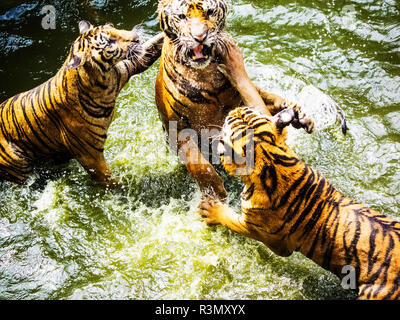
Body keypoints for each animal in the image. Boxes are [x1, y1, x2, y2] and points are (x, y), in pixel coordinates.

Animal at [0, 21, 164, 188]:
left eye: (113, 27)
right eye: (109, 42)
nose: (136, 37)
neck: (105, 80)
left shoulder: (128, 66)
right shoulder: (90, 155)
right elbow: (108, 180)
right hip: (20, 168)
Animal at [155, 0, 326, 202]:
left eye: (209, 12)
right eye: (182, 17)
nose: (200, 37)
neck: (206, 74)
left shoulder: (242, 104)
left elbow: (266, 99)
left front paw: (299, 115)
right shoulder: (179, 129)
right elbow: (201, 167)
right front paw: (216, 195)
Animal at [200, 40, 400, 300]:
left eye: (226, 126)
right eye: (240, 114)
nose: (231, 112)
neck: (274, 161)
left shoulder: (263, 233)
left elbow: (231, 219)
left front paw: (211, 210)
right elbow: (254, 95)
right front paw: (233, 65)